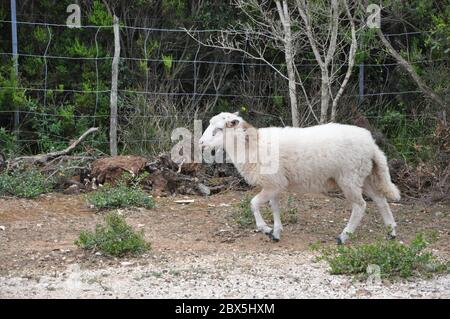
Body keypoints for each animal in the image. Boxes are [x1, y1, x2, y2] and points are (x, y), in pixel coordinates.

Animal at [200, 111, 400, 244]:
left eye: (218, 129)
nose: (201, 143)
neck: (251, 145)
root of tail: (372, 145)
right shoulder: (275, 183)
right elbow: (274, 207)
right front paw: (276, 232)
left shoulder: (273, 183)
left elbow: (253, 203)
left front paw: (264, 228)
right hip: (363, 176)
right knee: (380, 200)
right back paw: (391, 232)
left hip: (349, 177)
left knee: (360, 206)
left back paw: (344, 236)